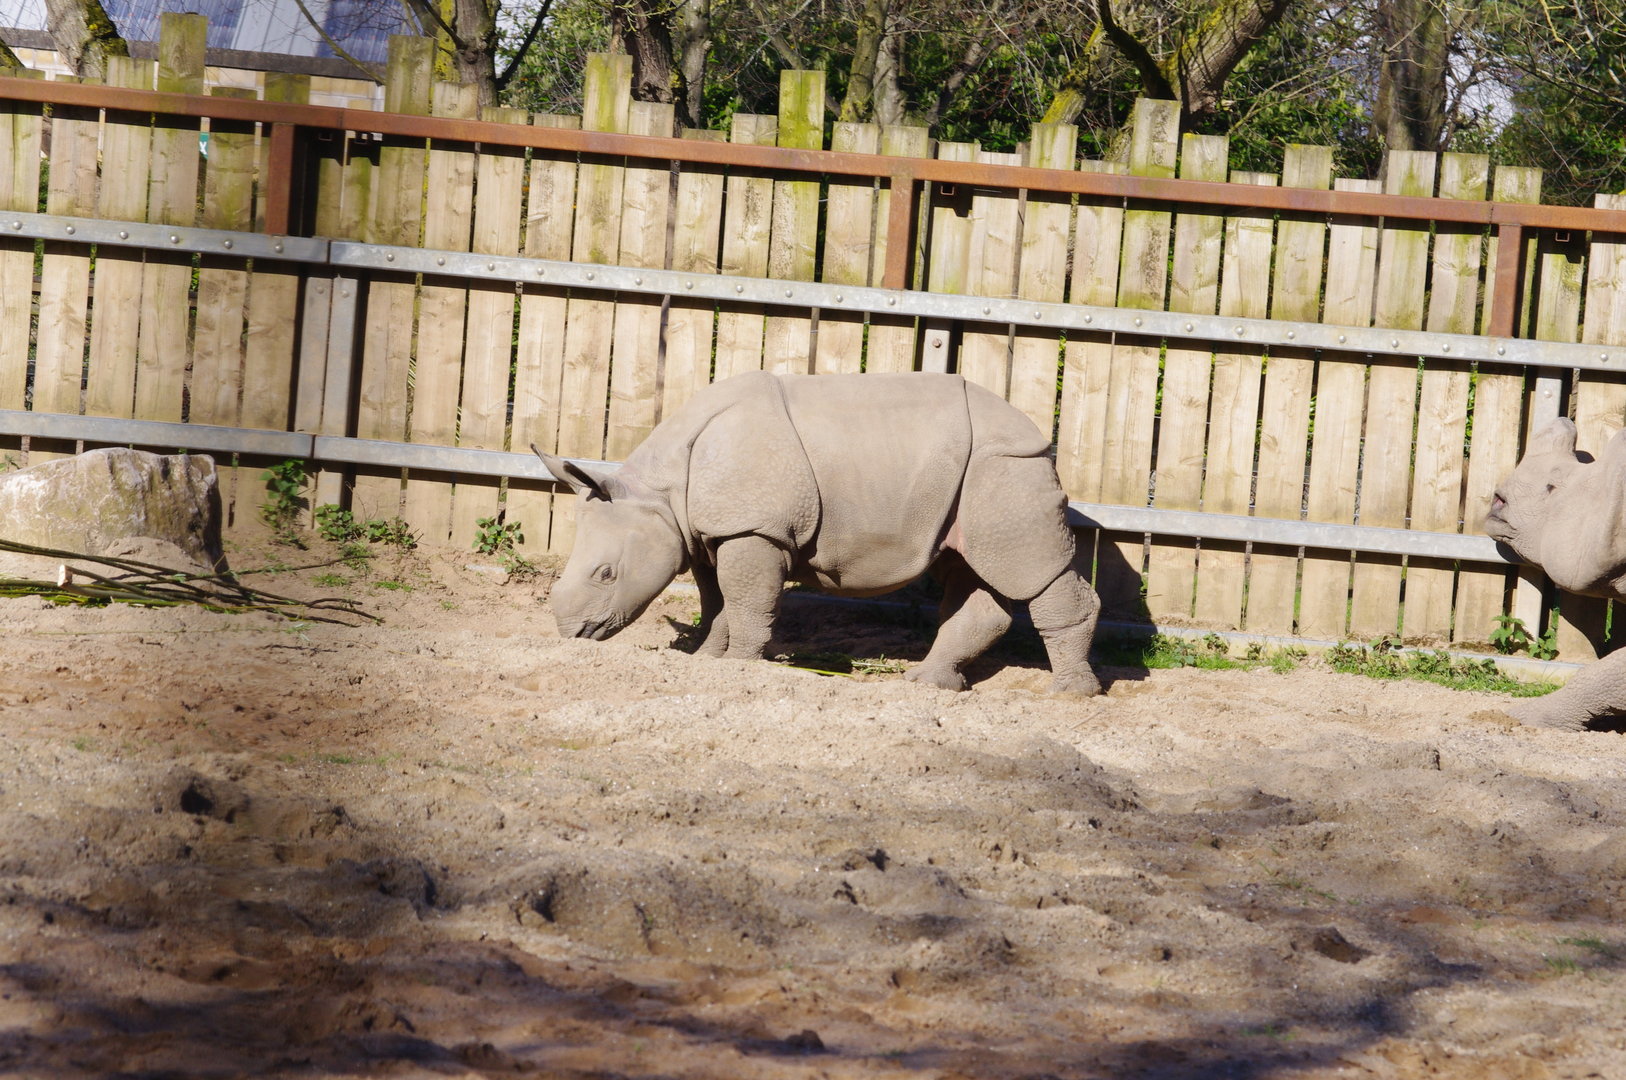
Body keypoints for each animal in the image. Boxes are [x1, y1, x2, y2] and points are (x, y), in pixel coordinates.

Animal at [534, 371, 1102, 695]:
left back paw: (1072, 694)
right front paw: (707, 661)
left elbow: (745, 602)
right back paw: (927, 687)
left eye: (606, 574)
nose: (573, 635)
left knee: (1029, 571)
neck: (661, 491)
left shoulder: (753, 528)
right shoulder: (713, 532)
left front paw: (741, 664)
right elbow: (717, 602)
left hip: (1007, 467)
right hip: (976, 476)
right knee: (974, 571)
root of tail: (1039, 435)